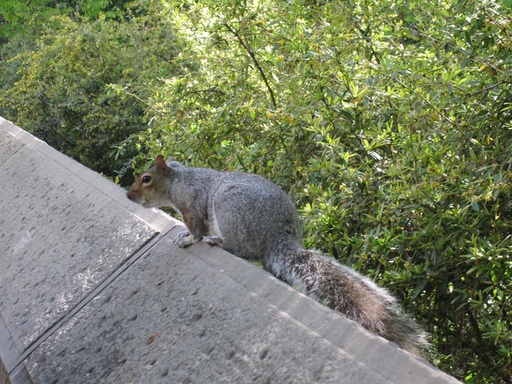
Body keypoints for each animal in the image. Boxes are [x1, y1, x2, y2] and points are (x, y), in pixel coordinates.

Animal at [127, 155, 428, 356]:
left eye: (146, 179)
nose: (129, 195)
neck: (179, 180)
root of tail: (277, 239)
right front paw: (181, 235)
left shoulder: (192, 206)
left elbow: (196, 229)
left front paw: (188, 239)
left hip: (230, 210)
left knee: (243, 249)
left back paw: (218, 241)